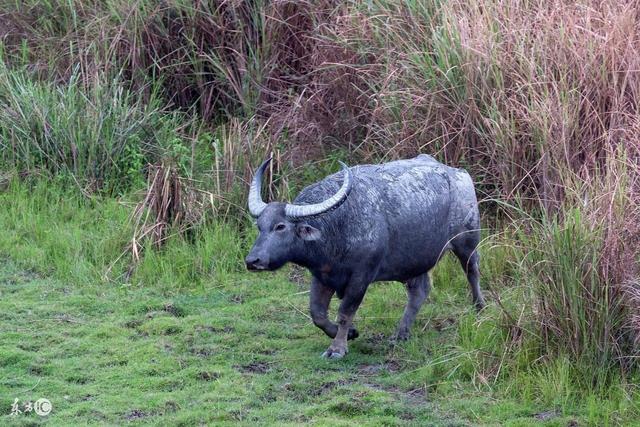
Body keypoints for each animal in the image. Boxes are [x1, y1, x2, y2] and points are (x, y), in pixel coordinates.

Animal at [245, 155, 484, 360]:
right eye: (260, 226)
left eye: (280, 226)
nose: (252, 261)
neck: (337, 226)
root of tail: (460, 174)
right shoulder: (321, 275)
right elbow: (317, 314)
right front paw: (350, 333)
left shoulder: (361, 276)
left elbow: (345, 312)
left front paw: (337, 348)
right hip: (414, 262)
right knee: (419, 291)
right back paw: (401, 333)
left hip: (467, 241)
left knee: (472, 272)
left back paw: (479, 307)